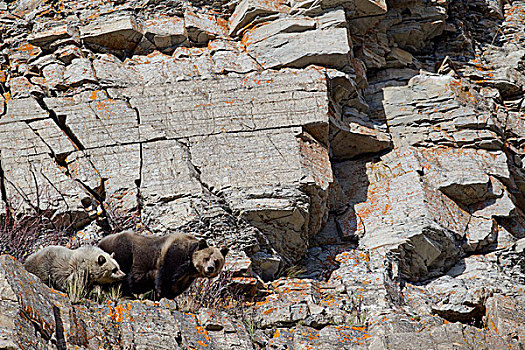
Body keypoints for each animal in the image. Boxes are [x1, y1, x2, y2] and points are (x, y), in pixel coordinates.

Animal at [99, 231, 228, 300]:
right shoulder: (174, 255)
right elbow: (165, 276)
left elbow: (176, 287)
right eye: (206, 258)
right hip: (122, 253)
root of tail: (100, 242)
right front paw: (160, 295)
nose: (210, 268)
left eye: (216, 260)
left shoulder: (186, 277)